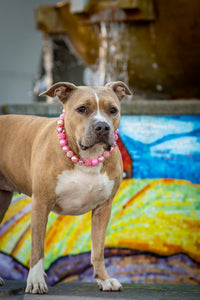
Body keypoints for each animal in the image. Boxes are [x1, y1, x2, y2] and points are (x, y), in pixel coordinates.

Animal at [0, 81, 131, 294]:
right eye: (82, 109)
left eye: (113, 110)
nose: (102, 126)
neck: (86, 158)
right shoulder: (41, 203)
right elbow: (37, 248)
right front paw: (36, 281)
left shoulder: (103, 208)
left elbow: (98, 249)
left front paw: (104, 279)